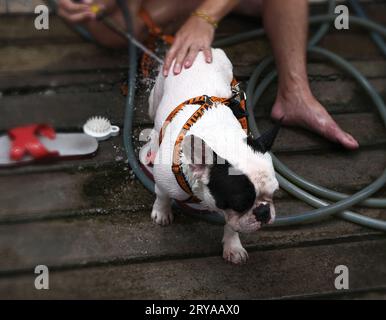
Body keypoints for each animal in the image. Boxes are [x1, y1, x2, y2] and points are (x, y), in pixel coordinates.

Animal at [145, 47, 280, 262]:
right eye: (240, 203)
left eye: (274, 193)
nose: (264, 211)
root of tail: (199, 50)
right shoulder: (164, 179)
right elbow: (162, 194)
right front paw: (161, 212)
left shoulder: (233, 217)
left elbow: (232, 226)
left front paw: (233, 246)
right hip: (157, 95)